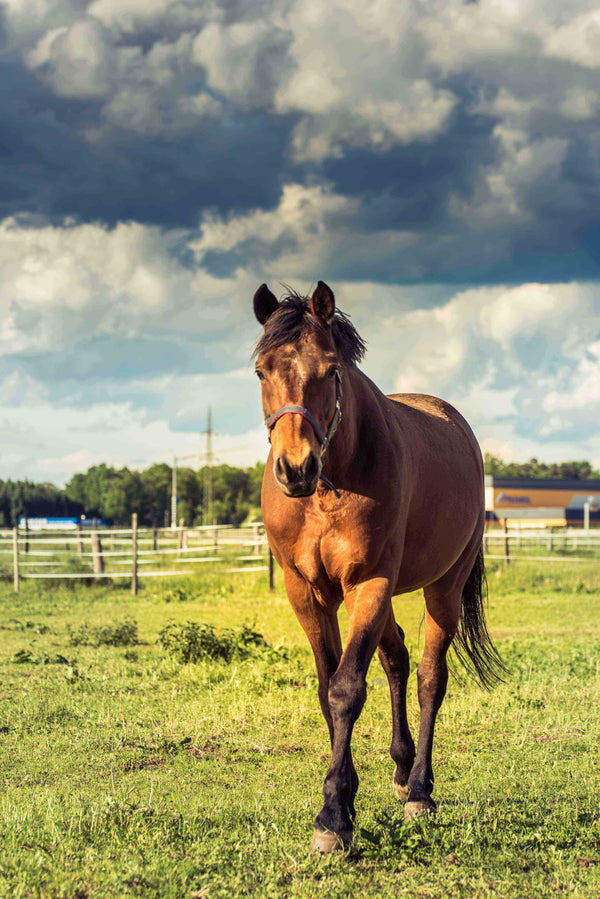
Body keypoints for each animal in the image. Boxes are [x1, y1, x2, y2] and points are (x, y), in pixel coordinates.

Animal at [251, 280, 504, 852]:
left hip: (443, 587)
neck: (330, 487)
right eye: (261, 371)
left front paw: (333, 817)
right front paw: (344, 797)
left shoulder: (368, 583)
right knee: (397, 658)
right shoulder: (307, 593)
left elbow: (347, 689)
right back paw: (401, 768)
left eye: (331, 371)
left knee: (430, 677)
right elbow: (328, 689)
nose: (296, 469)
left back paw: (420, 791)